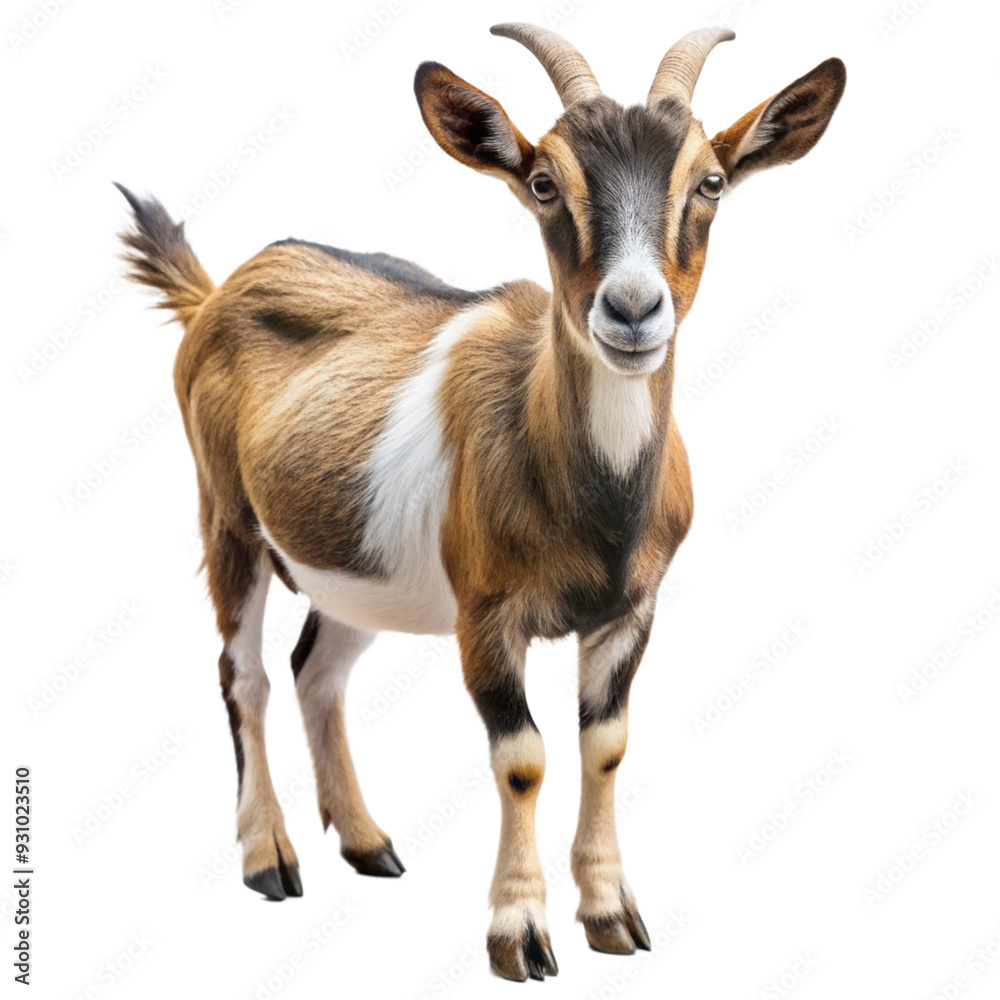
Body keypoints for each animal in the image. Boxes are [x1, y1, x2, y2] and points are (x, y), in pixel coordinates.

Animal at [116, 23, 845, 981]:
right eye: (544, 183)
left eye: (710, 182)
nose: (632, 309)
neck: (593, 510)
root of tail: (214, 292)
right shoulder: (486, 617)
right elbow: (524, 758)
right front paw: (519, 935)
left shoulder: (630, 611)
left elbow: (604, 746)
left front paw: (612, 916)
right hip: (227, 517)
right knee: (246, 675)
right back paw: (270, 858)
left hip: (359, 570)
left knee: (319, 669)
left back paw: (367, 843)